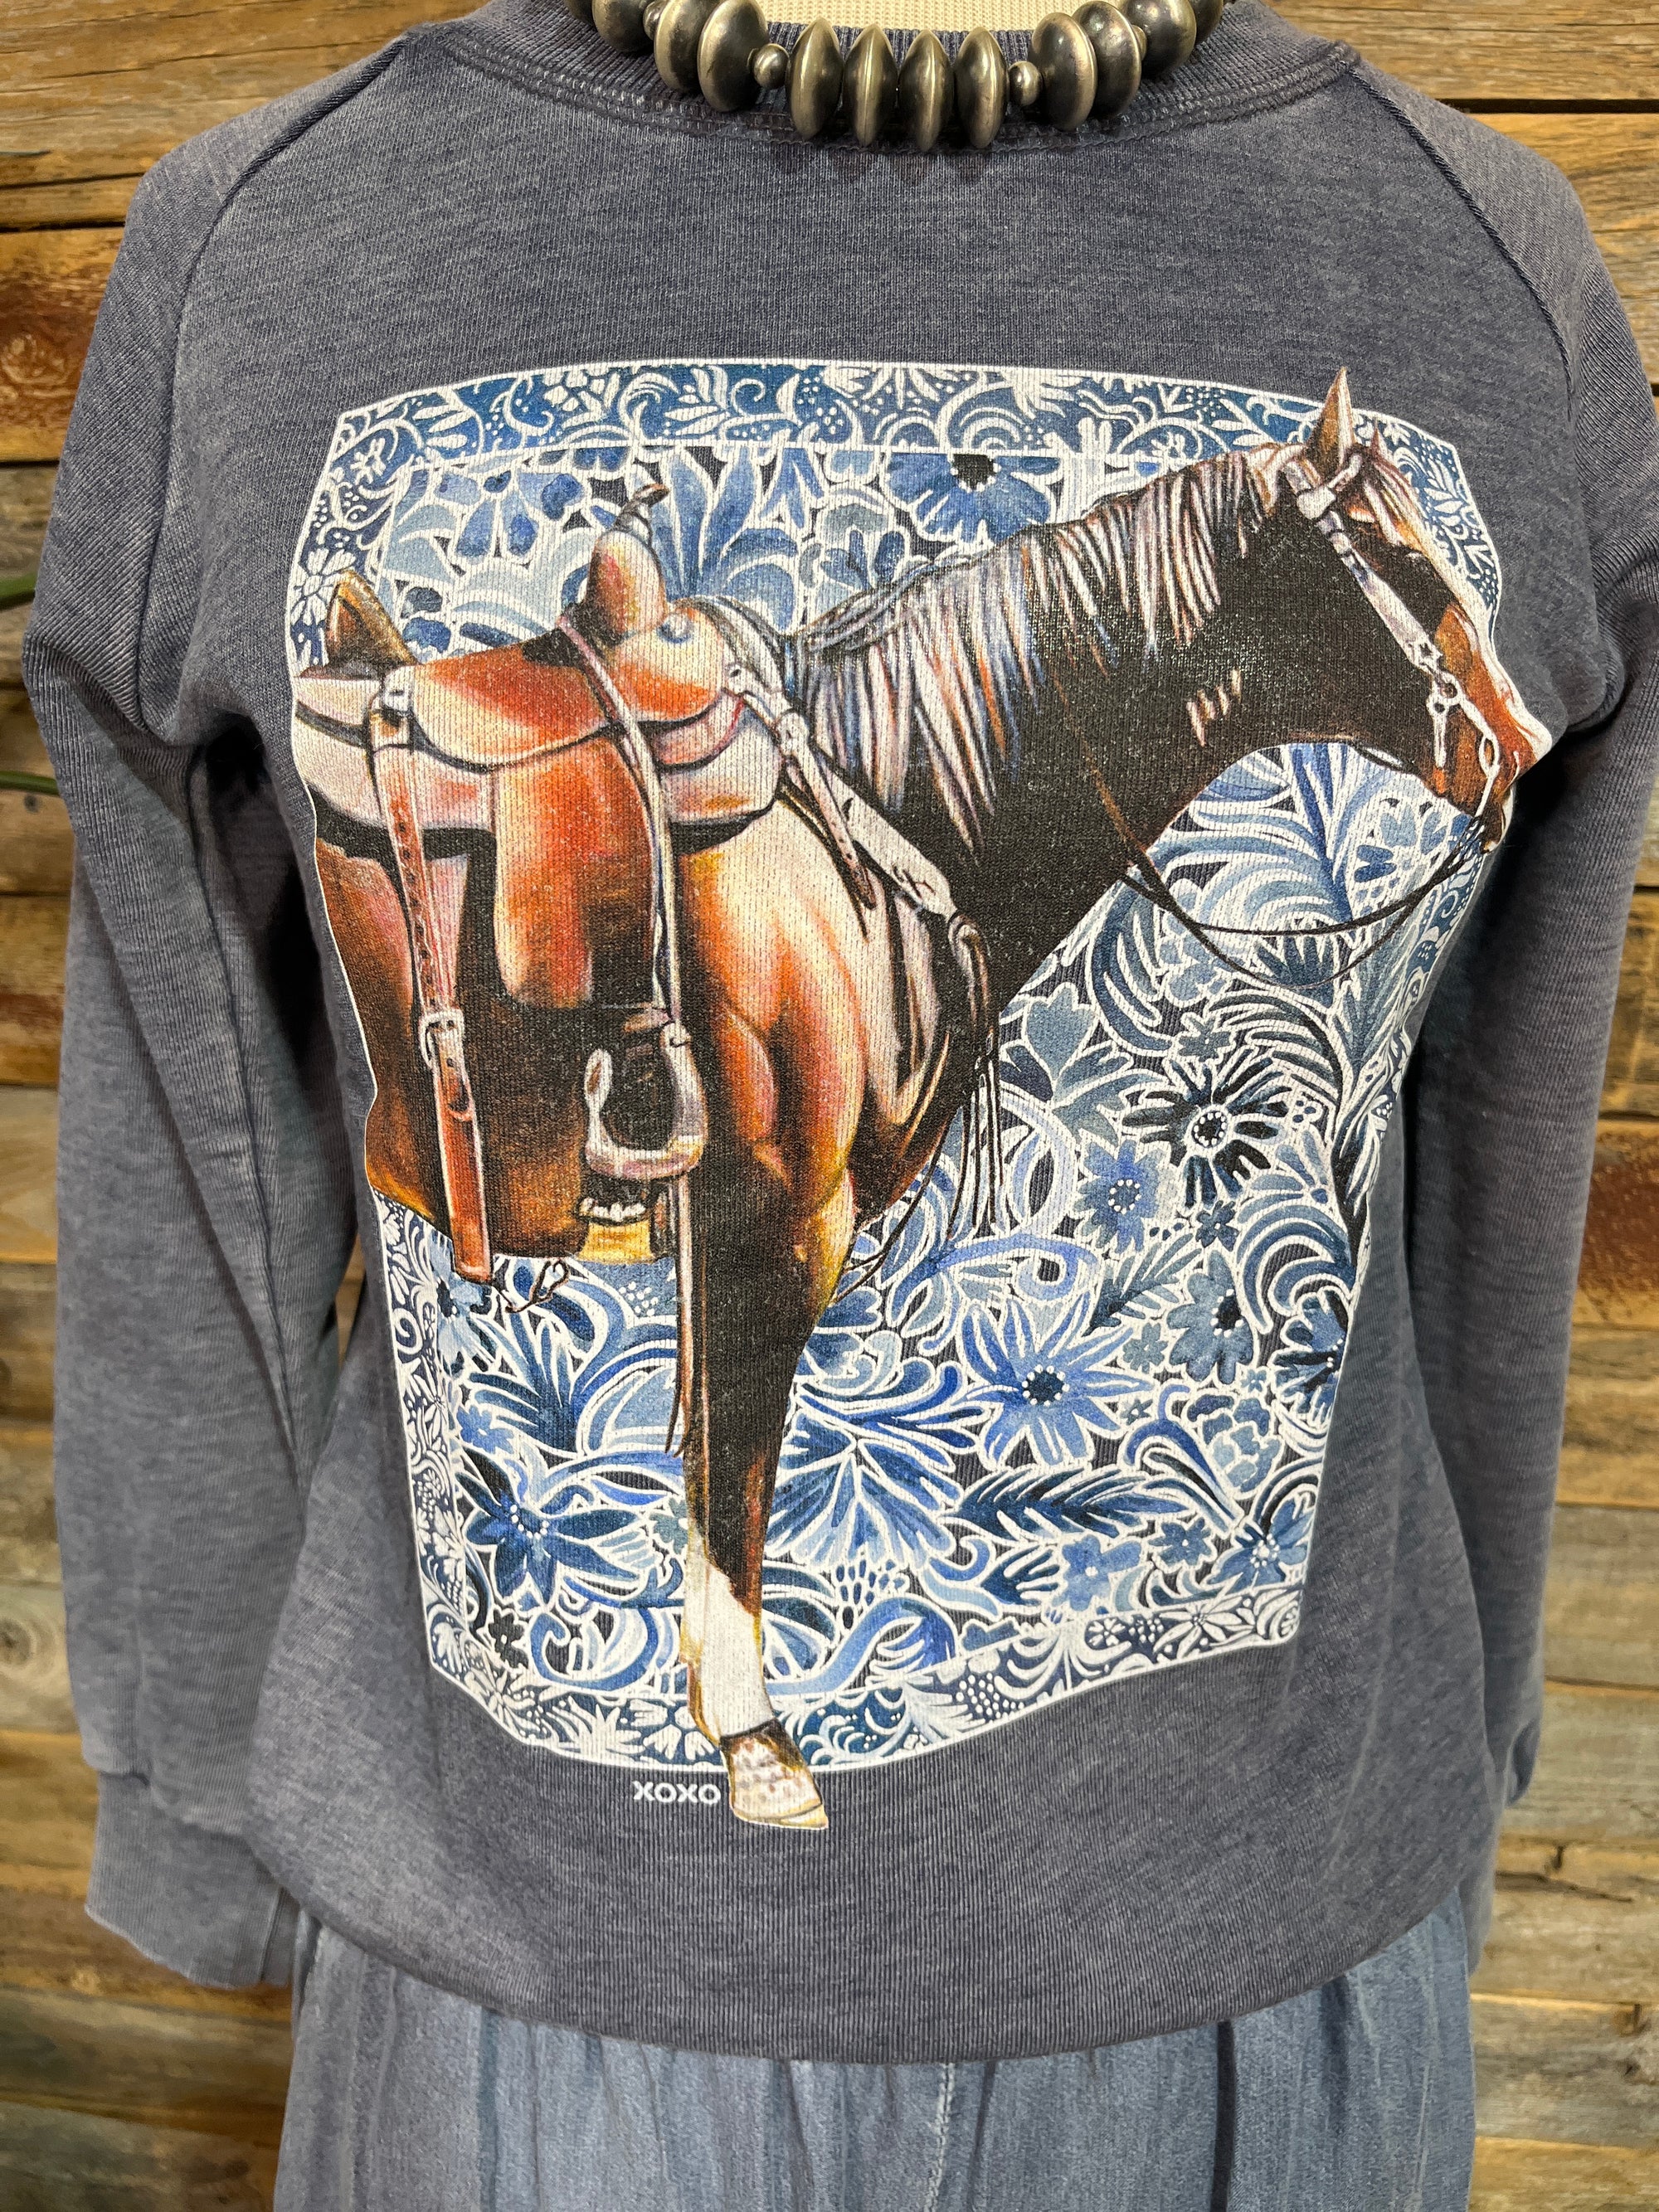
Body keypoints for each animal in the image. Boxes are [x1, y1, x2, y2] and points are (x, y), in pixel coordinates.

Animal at [293, 370, 1548, 1830]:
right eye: (1401, 556)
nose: (1520, 744)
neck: (865, 823)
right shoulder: (772, 1224)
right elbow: (733, 1474)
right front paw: (756, 1743)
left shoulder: (730, 1236)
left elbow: (713, 1454)